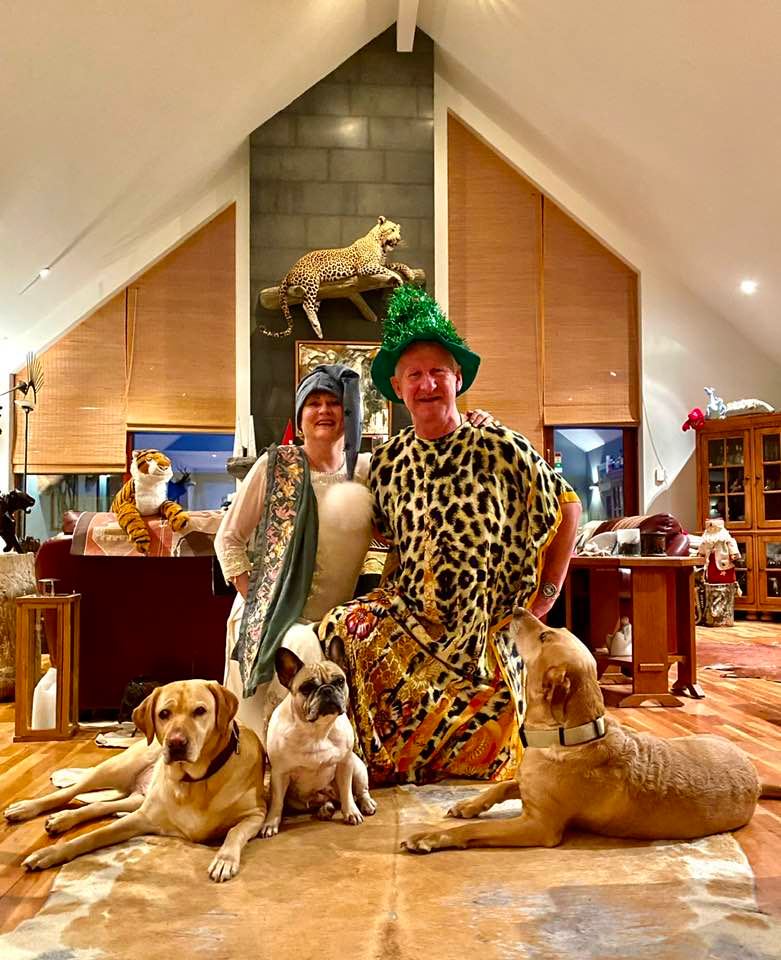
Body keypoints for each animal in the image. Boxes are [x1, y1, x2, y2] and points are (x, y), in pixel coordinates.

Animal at [4, 680, 266, 881]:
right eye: (164, 714)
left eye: (200, 711)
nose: (176, 744)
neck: (196, 780)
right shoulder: (141, 819)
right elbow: (91, 836)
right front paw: (49, 853)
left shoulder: (256, 815)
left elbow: (234, 832)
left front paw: (224, 860)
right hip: (116, 768)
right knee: (69, 792)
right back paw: (27, 808)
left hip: (137, 798)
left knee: (99, 805)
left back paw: (62, 819)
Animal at [260, 637, 376, 837]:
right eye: (306, 688)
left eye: (340, 681)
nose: (327, 690)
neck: (316, 730)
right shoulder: (279, 773)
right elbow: (276, 802)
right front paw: (270, 823)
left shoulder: (345, 764)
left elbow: (347, 792)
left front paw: (351, 812)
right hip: (298, 799)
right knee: (323, 801)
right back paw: (325, 809)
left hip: (358, 768)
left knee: (360, 791)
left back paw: (366, 804)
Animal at [403, 609, 781, 853]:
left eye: (544, 635)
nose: (516, 609)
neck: (568, 735)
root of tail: (756, 780)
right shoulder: (526, 785)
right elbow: (501, 787)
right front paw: (468, 803)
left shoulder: (538, 826)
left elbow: (477, 829)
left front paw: (429, 837)